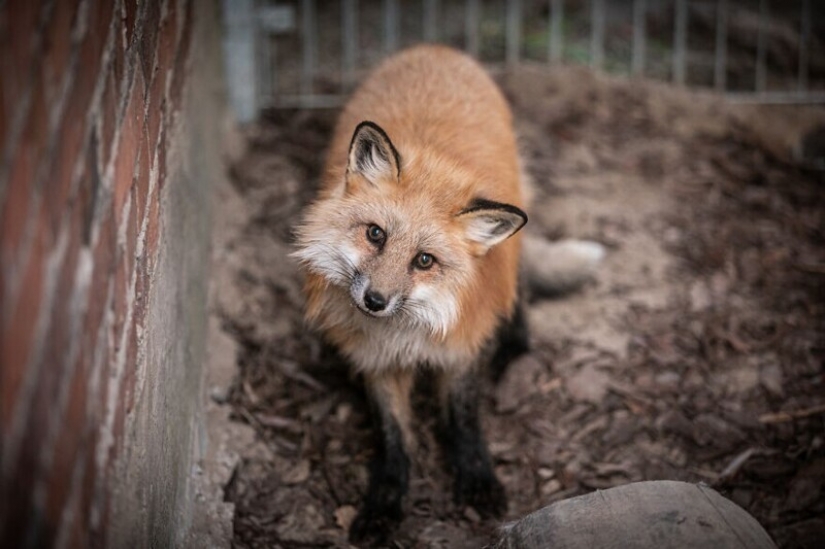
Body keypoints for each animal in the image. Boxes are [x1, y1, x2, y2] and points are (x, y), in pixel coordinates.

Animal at [292, 44, 603, 543]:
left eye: (424, 260)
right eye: (375, 234)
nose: (374, 301)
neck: (407, 332)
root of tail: (435, 49)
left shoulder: (460, 348)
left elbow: (463, 418)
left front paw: (477, 479)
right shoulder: (376, 362)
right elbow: (393, 438)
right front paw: (384, 503)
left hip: (511, 238)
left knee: (518, 289)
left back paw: (514, 347)